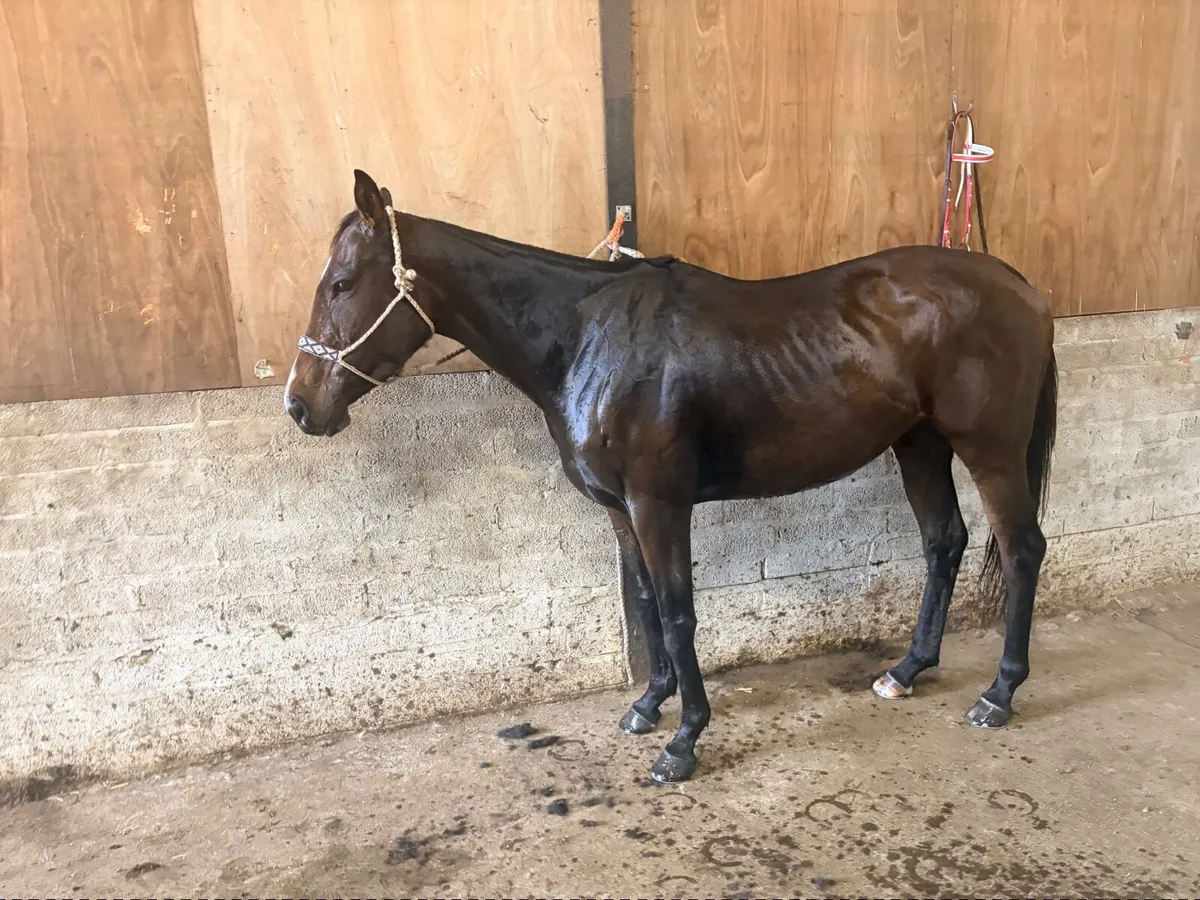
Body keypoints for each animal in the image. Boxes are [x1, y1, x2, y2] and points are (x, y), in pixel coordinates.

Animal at [284, 169, 1057, 784]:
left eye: (342, 283)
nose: (300, 405)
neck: (588, 339)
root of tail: (1020, 286)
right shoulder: (620, 508)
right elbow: (646, 602)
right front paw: (648, 705)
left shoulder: (660, 503)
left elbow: (679, 609)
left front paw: (684, 740)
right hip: (918, 444)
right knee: (945, 542)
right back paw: (907, 671)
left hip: (988, 448)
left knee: (1022, 549)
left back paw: (999, 695)